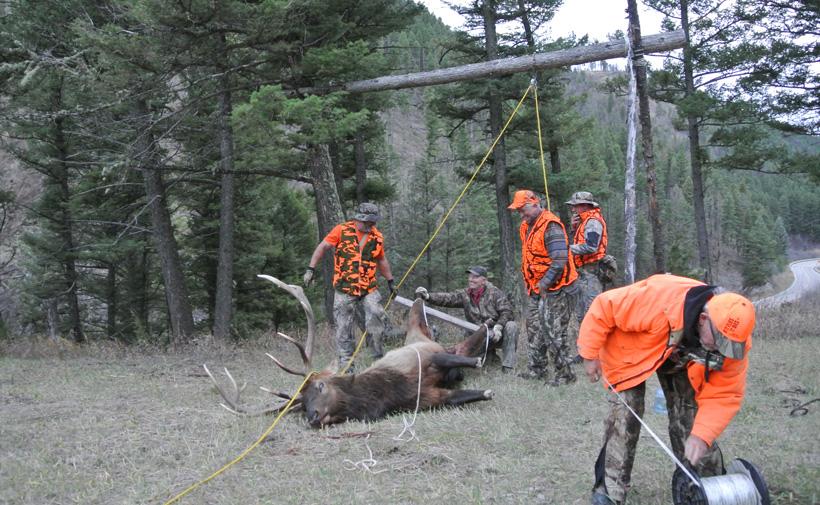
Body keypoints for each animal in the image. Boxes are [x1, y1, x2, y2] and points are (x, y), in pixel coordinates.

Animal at [204, 275, 493, 428]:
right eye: (302, 404)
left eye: (320, 387)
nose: (312, 416)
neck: (386, 391)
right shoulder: (424, 399)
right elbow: (462, 396)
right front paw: (484, 391)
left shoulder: (424, 358)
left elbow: (451, 359)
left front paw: (477, 364)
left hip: (421, 337)